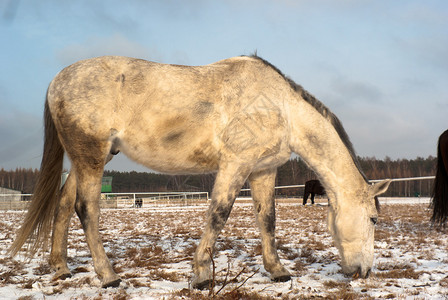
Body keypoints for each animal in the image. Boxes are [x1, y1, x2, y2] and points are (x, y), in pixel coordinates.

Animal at [8, 55, 390, 288]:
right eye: (373, 219)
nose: (364, 272)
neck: (279, 107)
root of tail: (58, 81)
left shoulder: (263, 171)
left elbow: (267, 220)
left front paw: (277, 270)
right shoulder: (235, 165)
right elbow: (218, 214)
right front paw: (202, 274)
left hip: (87, 158)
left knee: (62, 204)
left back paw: (61, 267)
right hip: (90, 157)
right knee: (85, 209)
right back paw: (108, 275)